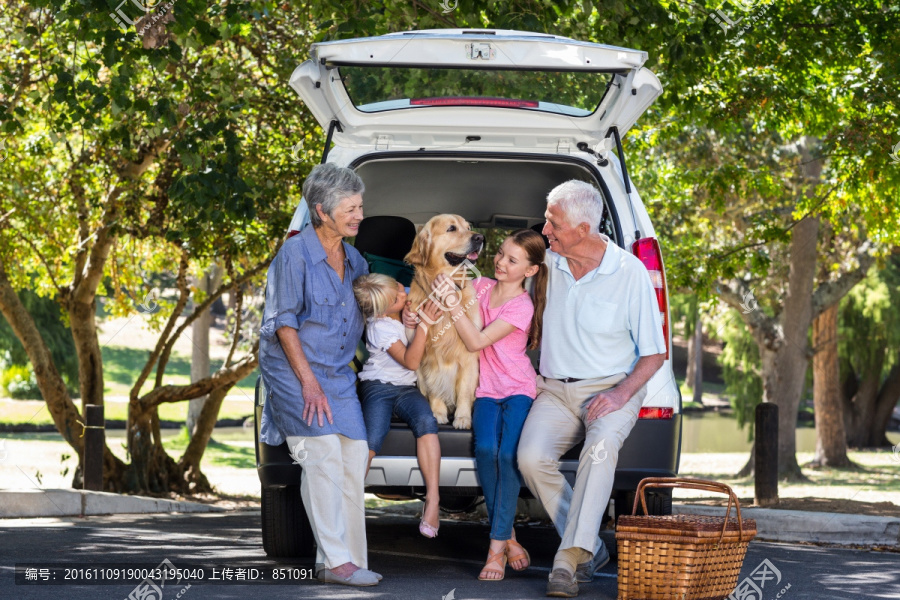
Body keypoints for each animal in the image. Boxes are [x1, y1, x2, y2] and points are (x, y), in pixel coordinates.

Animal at [406, 213, 486, 428]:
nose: (480, 238)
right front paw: (438, 413)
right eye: (451, 228)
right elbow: (434, 388)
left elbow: (465, 392)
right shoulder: (427, 358)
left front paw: (463, 418)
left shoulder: (468, 358)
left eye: (468, 227)